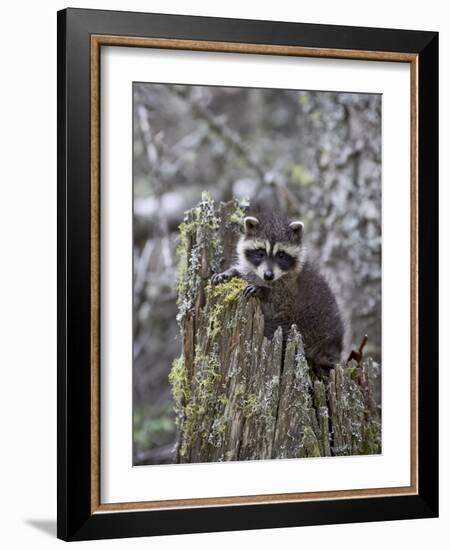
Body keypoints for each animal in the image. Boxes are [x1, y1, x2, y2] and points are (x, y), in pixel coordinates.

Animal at [212, 211, 344, 370]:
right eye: (260, 252)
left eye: (281, 255)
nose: (268, 275)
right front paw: (230, 272)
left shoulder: (289, 288)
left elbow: (276, 300)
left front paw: (263, 290)